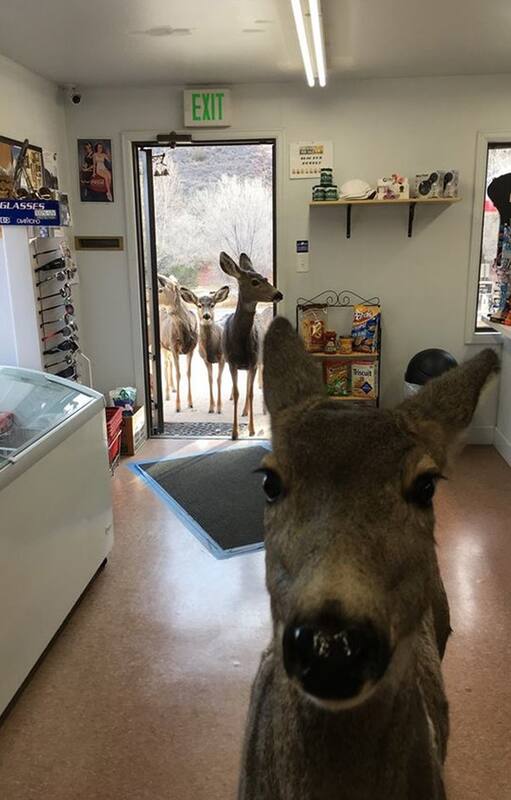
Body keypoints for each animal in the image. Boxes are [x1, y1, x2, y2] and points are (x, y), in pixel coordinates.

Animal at [157, 274, 198, 413]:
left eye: (161, 290)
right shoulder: (174, 347)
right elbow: (178, 373)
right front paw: (178, 406)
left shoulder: (192, 349)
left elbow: (188, 373)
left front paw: (190, 403)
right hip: (162, 345)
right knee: (165, 364)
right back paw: (167, 394)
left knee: (169, 363)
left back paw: (173, 388)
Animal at [179, 285, 230, 414]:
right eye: (199, 305)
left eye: (212, 304)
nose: (206, 316)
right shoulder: (205, 360)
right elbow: (210, 380)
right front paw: (211, 407)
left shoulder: (222, 358)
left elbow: (218, 379)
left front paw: (219, 408)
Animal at [219, 252, 283, 439]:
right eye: (255, 282)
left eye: (266, 278)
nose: (278, 294)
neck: (239, 341)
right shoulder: (232, 362)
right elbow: (236, 393)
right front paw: (234, 433)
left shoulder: (253, 361)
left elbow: (252, 393)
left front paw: (252, 430)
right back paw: (244, 412)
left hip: (258, 361)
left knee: (251, 387)